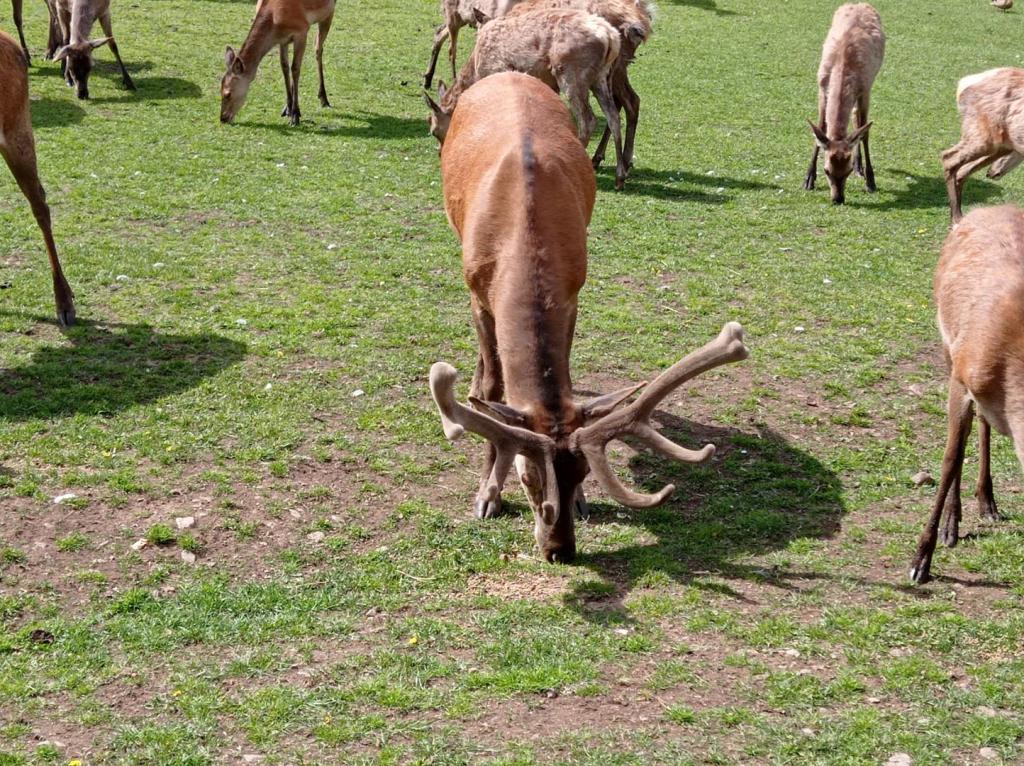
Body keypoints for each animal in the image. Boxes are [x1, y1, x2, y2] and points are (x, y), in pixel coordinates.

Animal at [428, 71, 749, 561]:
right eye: (527, 477)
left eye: (583, 474)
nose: (560, 551)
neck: (523, 235)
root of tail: (508, 73)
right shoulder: (478, 294)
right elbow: (493, 388)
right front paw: (487, 495)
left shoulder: (573, 292)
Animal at [802, 2, 884, 203]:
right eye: (826, 170)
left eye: (846, 171)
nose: (838, 199)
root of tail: (859, 3)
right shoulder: (822, 87)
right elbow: (820, 128)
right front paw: (808, 179)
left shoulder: (865, 89)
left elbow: (865, 131)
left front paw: (871, 181)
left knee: (858, 122)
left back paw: (861, 167)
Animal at [913, 201, 1024, 581]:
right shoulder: (961, 379)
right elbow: (950, 459)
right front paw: (921, 560)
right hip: (947, 349)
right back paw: (955, 522)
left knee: (985, 422)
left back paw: (987, 501)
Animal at [937, 67, 1024, 223]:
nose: (990, 172)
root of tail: (964, 83)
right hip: (984, 136)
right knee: (948, 157)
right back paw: (957, 219)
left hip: (1002, 144)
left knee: (962, 170)